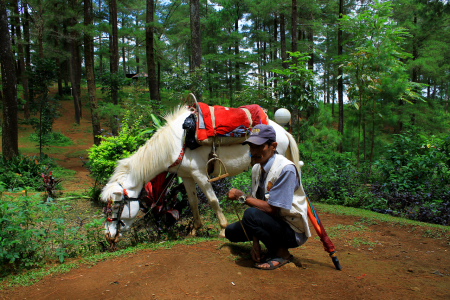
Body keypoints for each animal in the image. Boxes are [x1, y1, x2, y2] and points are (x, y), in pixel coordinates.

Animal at [100, 105, 300, 244]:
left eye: (116, 206)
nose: (108, 235)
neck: (176, 144)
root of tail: (283, 131)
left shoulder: (200, 175)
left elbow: (212, 200)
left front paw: (223, 229)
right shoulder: (187, 176)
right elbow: (193, 201)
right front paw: (195, 230)